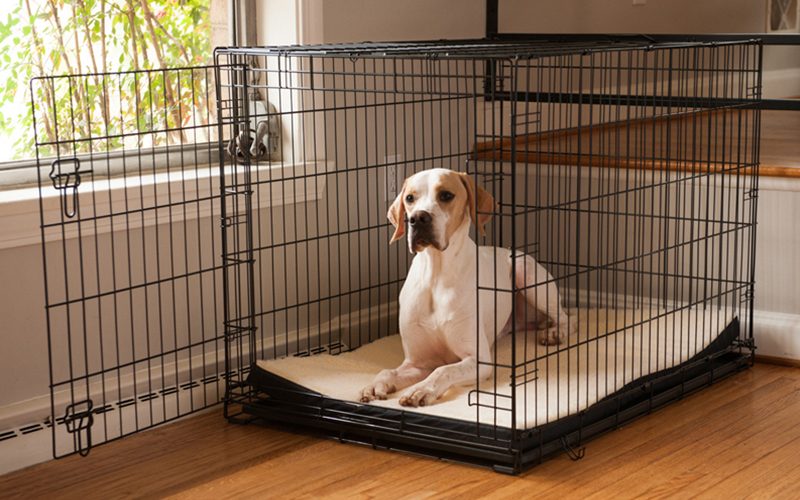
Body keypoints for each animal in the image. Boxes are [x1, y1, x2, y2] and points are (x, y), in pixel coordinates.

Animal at [360, 168, 572, 406]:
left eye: (446, 195)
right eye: (410, 198)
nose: (418, 219)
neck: (436, 275)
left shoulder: (478, 359)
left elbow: (443, 370)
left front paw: (421, 390)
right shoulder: (417, 363)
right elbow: (388, 371)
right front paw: (375, 385)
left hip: (526, 274)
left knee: (567, 318)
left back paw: (556, 333)